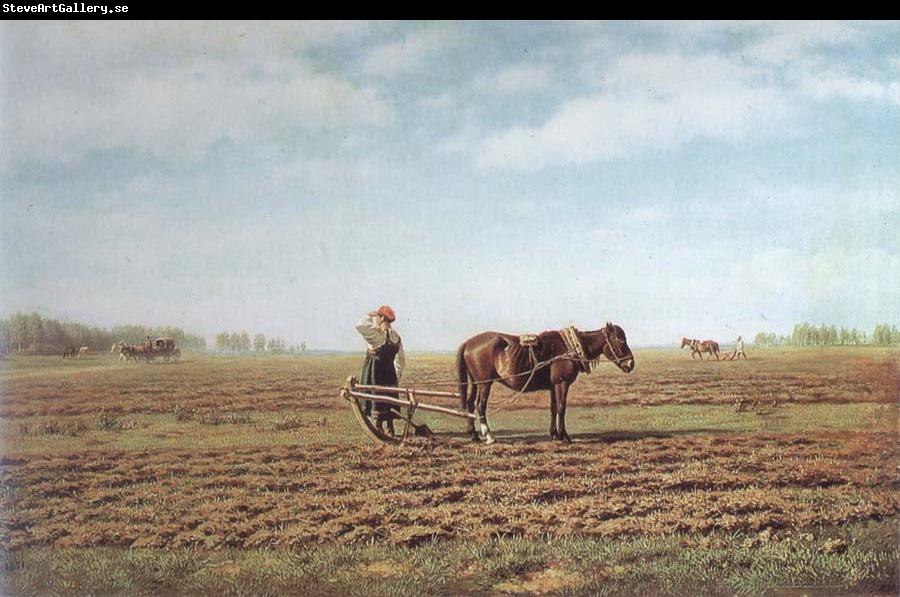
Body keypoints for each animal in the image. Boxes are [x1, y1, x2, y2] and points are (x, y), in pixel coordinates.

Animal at [458, 322, 632, 442]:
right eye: (621, 340)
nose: (631, 364)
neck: (570, 349)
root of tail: (468, 343)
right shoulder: (562, 384)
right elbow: (561, 407)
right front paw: (564, 436)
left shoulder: (553, 386)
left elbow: (553, 408)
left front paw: (554, 434)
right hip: (484, 384)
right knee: (480, 406)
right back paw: (488, 435)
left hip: (476, 383)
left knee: (470, 403)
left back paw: (473, 434)